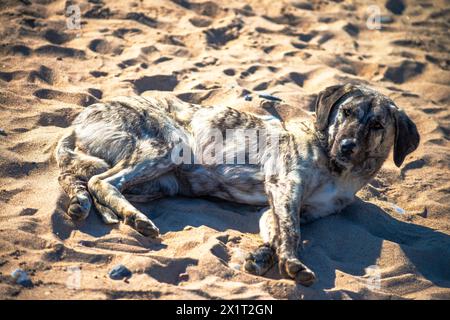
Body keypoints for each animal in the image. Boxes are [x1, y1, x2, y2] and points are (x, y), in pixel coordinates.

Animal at [55, 84, 418, 286]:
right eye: (345, 112)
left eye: (376, 125)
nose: (346, 146)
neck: (341, 171)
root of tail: (80, 119)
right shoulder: (285, 185)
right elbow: (292, 234)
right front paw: (293, 264)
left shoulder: (291, 206)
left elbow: (278, 231)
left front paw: (263, 257)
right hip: (169, 144)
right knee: (102, 181)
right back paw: (135, 219)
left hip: (158, 182)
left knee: (80, 177)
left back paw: (82, 203)